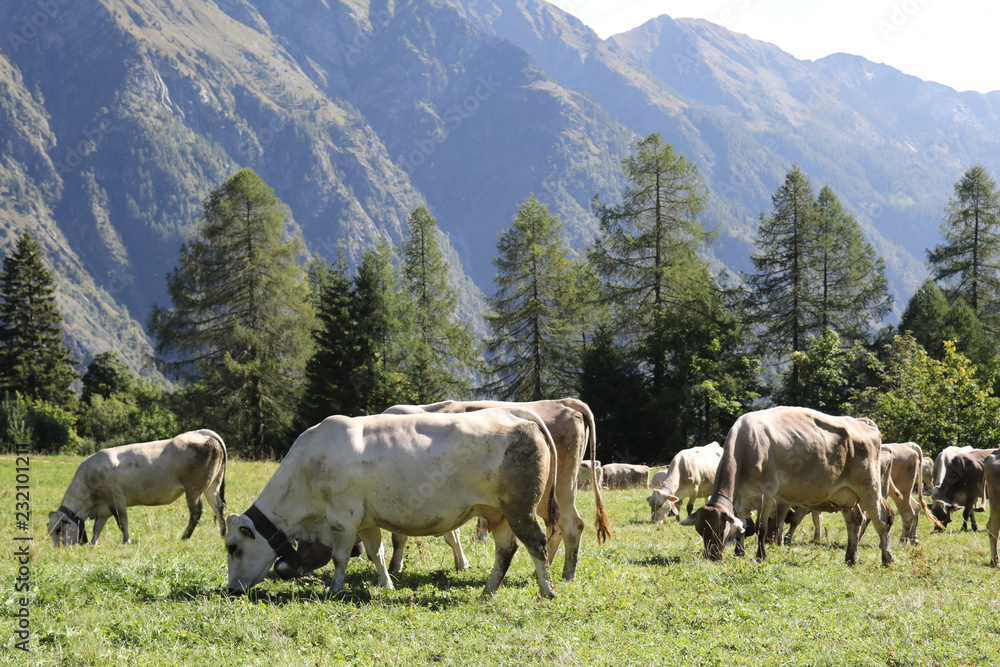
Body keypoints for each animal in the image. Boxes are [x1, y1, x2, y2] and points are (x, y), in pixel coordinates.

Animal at [48, 434, 227, 548]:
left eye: (58, 530)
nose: (57, 549)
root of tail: (201, 434)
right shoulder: (103, 509)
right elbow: (97, 527)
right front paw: (93, 543)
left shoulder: (116, 500)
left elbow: (122, 522)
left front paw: (126, 541)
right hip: (212, 486)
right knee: (219, 508)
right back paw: (223, 534)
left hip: (194, 489)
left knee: (196, 512)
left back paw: (185, 537)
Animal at [222, 408, 560, 600]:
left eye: (232, 547)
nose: (231, 589)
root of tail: (516, 415)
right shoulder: (366, 520)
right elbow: (377, 554)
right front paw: (386, 585)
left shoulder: (343, 518)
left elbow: (340, 558)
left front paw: (334, 589)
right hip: (499, 513)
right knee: (506, 551)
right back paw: (488, 591)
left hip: (520, 510)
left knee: (537, 544)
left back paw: (547, 590)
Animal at [680, 404, 892, 568]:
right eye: (700, 531)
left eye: (718, 530)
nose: (711, 557)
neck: (746, 447)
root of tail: (864, 422)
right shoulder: (742, 496)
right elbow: (742, 525)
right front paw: (739, 553)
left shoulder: (768, 492)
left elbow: (761, 527)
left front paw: (760, 556)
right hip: (844, 494)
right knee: (854, 521)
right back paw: (850, 558)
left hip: (870, 486)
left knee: (881, 520)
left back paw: (887, 559)